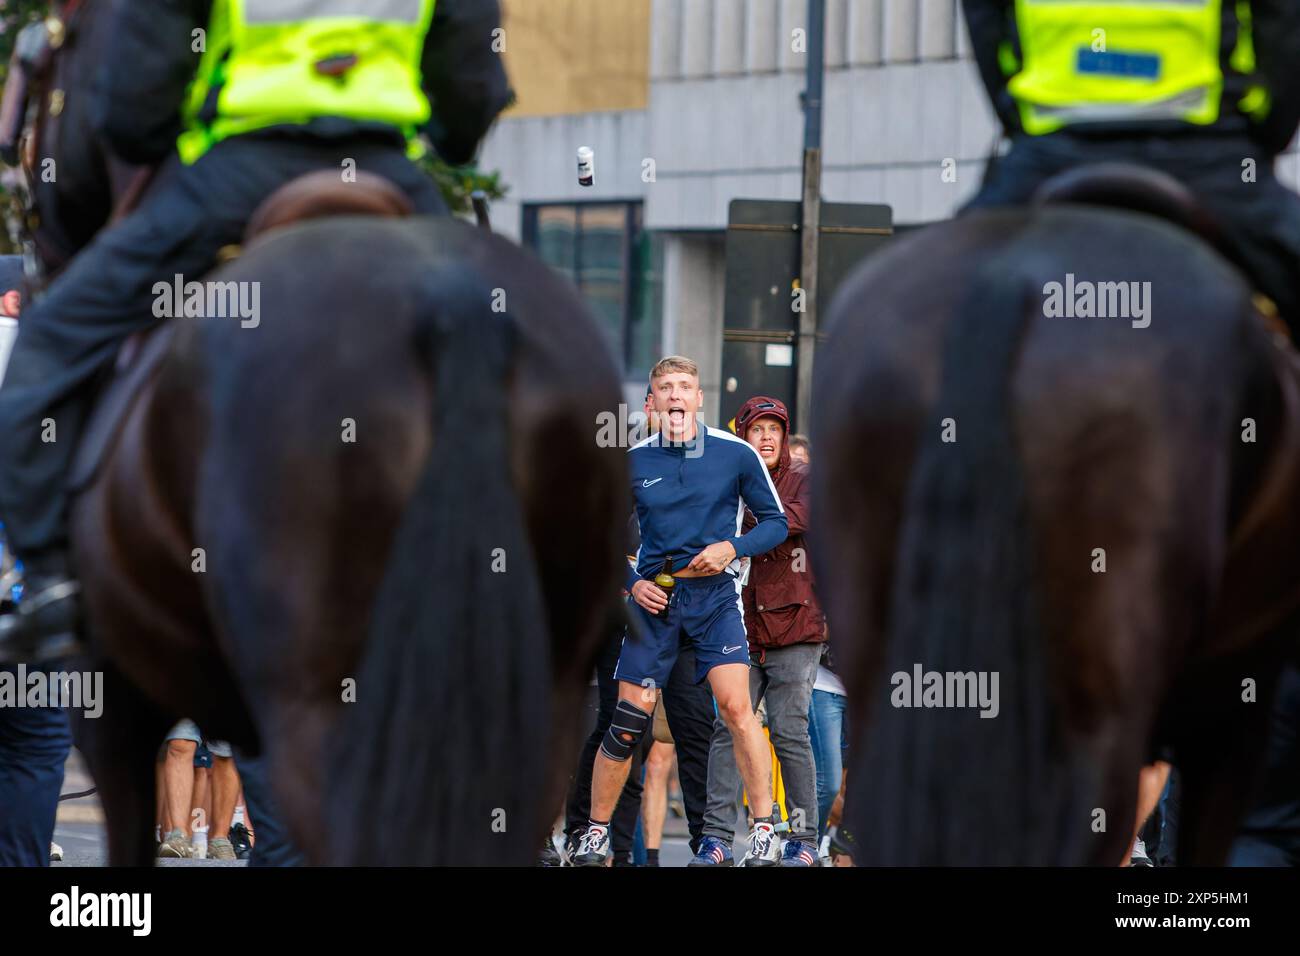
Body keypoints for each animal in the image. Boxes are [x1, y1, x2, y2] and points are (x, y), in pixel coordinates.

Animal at [5, 1, 624, 868]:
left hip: (324, 706)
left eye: (41, 62)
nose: (30, 209)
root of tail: (451, 303)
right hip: (538, 704)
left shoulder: (112, 696)